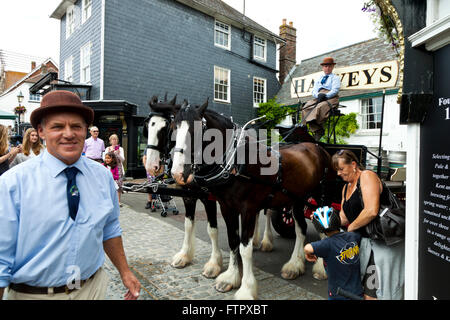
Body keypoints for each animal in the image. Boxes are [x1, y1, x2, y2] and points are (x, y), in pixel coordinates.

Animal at [171, 100, 332, 300]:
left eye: (197, 130)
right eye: (174, 128)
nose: (177, 173)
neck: (236, 163)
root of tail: (317, 147)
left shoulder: (247, 209)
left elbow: (245, 248)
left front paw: (246, 289)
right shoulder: (226, 207)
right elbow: (233, 241)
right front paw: (230, 278)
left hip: (320, 197)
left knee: (323, 227)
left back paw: (320, 268)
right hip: (296, 200)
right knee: (301, 229)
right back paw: (295, 265)